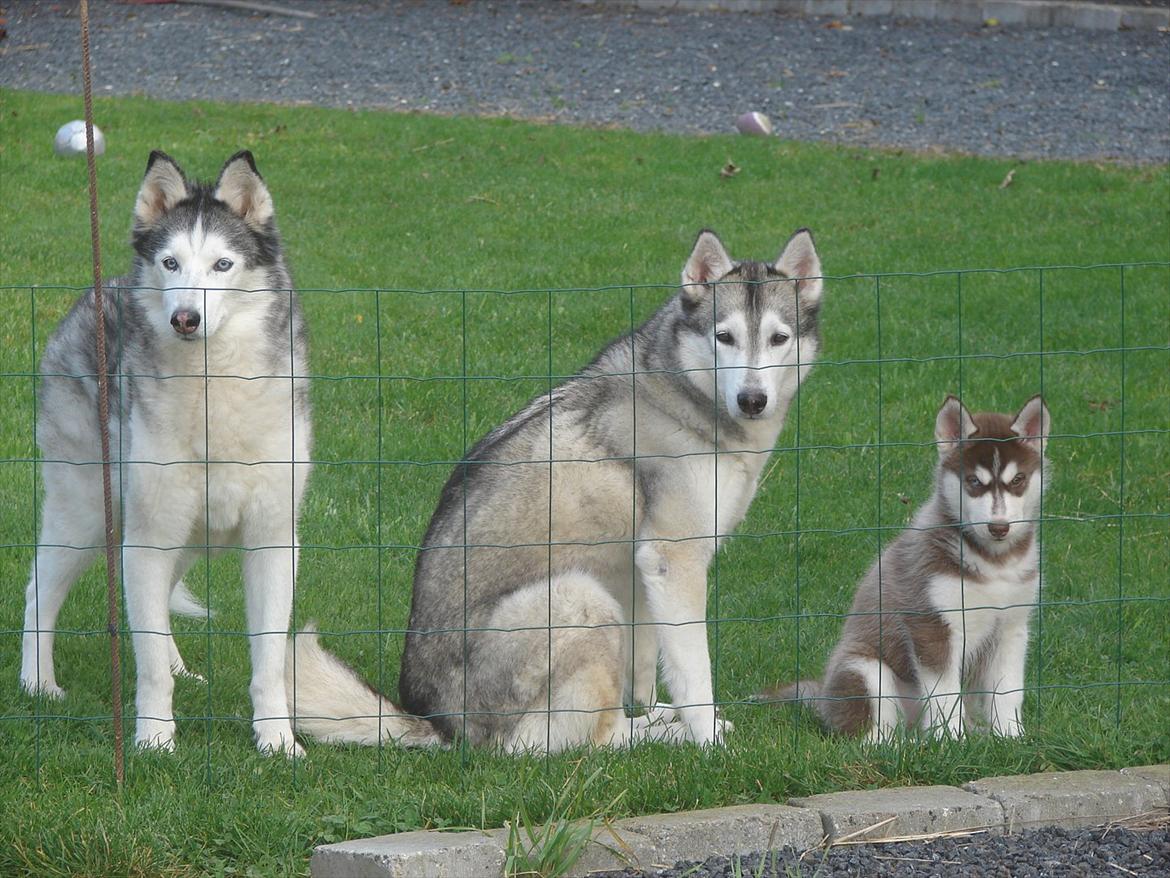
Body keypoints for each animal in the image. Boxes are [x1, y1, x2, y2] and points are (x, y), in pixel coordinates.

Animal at [767, 395, 1053, 739]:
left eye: (1018, 480)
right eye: (973, 481)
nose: (999, 528)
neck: (993, 562)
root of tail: (822, 697)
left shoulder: (1012, 626)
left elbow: (1008, 691)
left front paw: (1011, 736)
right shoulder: (931, 624)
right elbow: (944, 693)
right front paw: (951, 740)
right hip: (865, 669)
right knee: (870, 731)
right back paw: (896, 743)